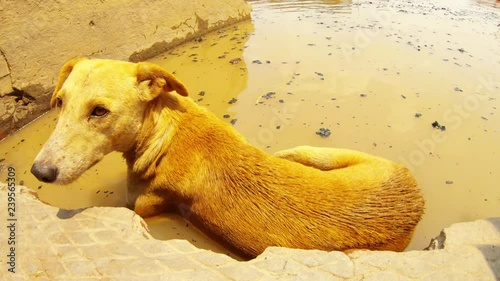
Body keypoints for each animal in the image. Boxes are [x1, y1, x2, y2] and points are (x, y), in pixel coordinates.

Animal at [31, 57, 424, 258]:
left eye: (99, 111)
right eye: (60, 102)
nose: (39, 171)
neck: (165, 133)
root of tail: (416, 198)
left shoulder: (140, 207)